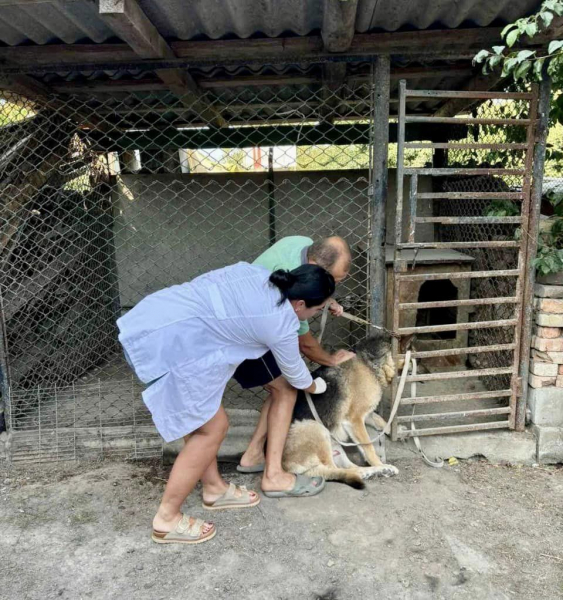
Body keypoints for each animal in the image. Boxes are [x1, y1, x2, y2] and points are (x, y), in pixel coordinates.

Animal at [284, 330, 404, 490]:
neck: (369, 364)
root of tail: (285, 466)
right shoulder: (355, 419)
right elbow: (369, 447)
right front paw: (378, 462)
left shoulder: (366, 414)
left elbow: (381, 420)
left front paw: (398, 430)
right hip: (316, 428)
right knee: (334, 469)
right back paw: (381, 468)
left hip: (335, 446)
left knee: (349, 468)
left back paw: (376, 471)